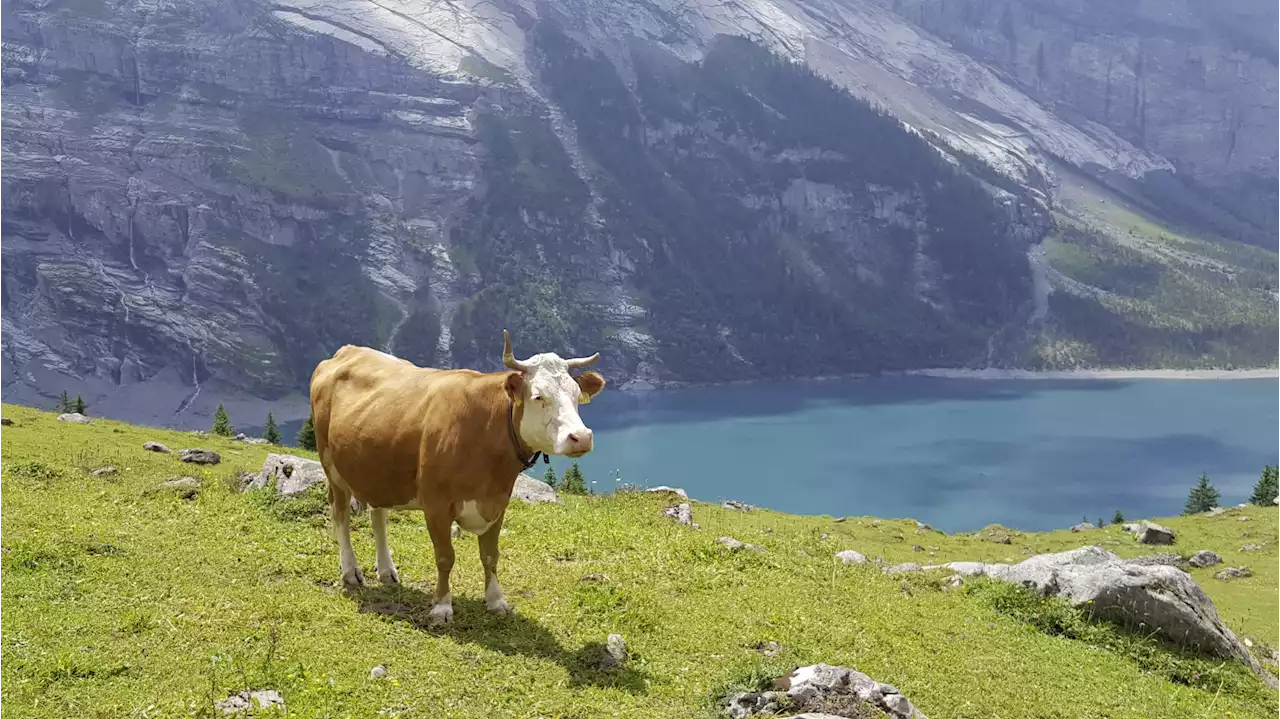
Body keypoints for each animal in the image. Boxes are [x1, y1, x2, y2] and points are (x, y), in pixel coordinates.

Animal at [312, 330, 606, 621]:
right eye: (538, 396)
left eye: (576, 394)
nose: (581, 437)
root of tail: (347, 351)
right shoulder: (436, 505)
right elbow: (445, 557)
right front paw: (442, 606)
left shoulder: (498, 503)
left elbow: (490, 555)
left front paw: (496, 600)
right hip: (331, 466)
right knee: (340, 514)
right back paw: (350, 572)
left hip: (376, 469)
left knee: (378, 514)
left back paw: (386, 571)